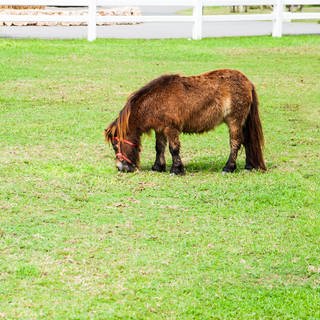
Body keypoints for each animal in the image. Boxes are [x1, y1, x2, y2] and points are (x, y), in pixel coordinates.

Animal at [104, 69, 266, 175]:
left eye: (115, 146)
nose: (120, 168)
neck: (156, 101)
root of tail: (247, 82)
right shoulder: (160, 129)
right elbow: (159, 148)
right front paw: (158, 167)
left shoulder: (171, 129)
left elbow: (173, 149)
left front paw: (177, 169)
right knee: (247, 141)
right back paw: (249, 166)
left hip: (234, 121)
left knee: (235, 143)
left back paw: (229, 167)